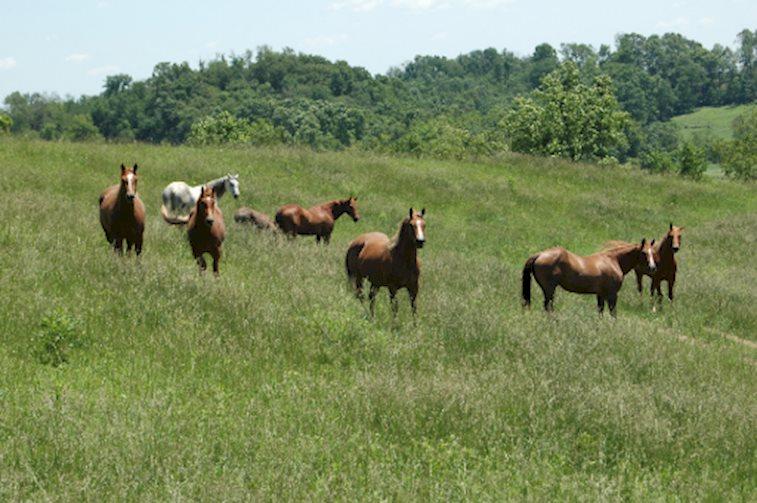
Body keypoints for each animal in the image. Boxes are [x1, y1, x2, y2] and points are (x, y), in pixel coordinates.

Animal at [520, 239, 656, 316]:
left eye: (653, 252)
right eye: (644, 253)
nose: (653, 267)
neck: (613, 260)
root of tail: (539, 255)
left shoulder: (601, 294)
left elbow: (600, 311)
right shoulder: (612, 295)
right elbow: (613, 313)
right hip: (549, 290)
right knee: (548, 306)